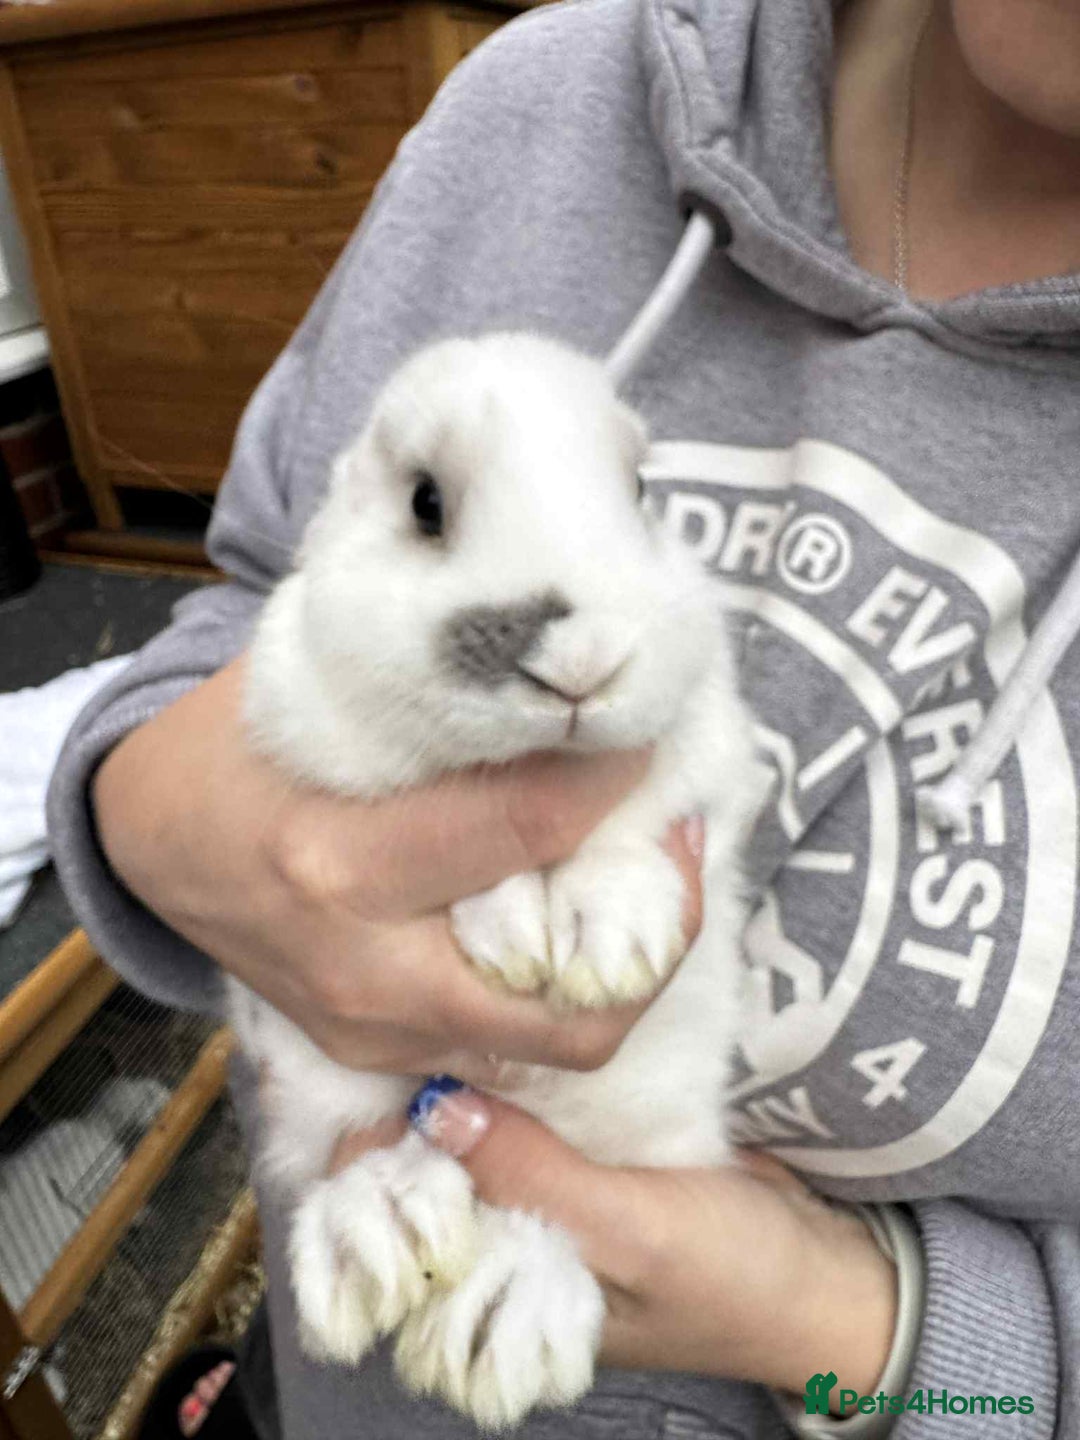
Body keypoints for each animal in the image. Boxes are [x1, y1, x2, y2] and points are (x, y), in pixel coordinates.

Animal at [230, 332, 762, 1430]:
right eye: (426, 503)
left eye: (638, 491)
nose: (582, 663)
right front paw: (518, 936)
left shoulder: (711, 760)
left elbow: (634, 825)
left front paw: (609, 939)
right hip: (319, 1077)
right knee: (363, 1144)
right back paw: (379, 1232)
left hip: (647, 1113)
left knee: (563, 1205)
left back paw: (501, 1317)